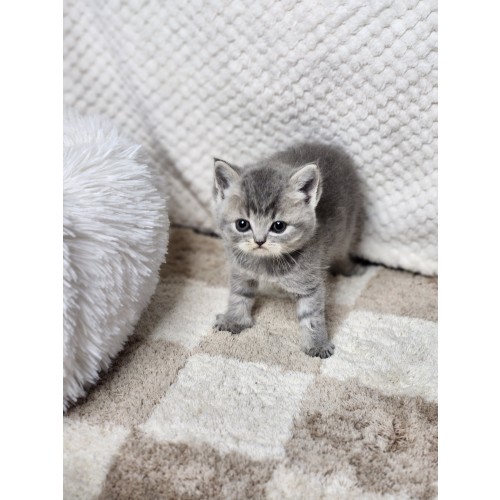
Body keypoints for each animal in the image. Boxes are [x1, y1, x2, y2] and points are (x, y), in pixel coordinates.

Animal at [212, 143, 363, 358]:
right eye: (242, 224)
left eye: (278, 226)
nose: (259, 241)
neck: (266, 262)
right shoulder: (241, 270)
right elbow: (239, 295)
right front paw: (234, 320)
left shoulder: (310, 282)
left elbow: (311, 316)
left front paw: (317, 344)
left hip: (346, 233)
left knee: (343, 255)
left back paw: (352, 270)